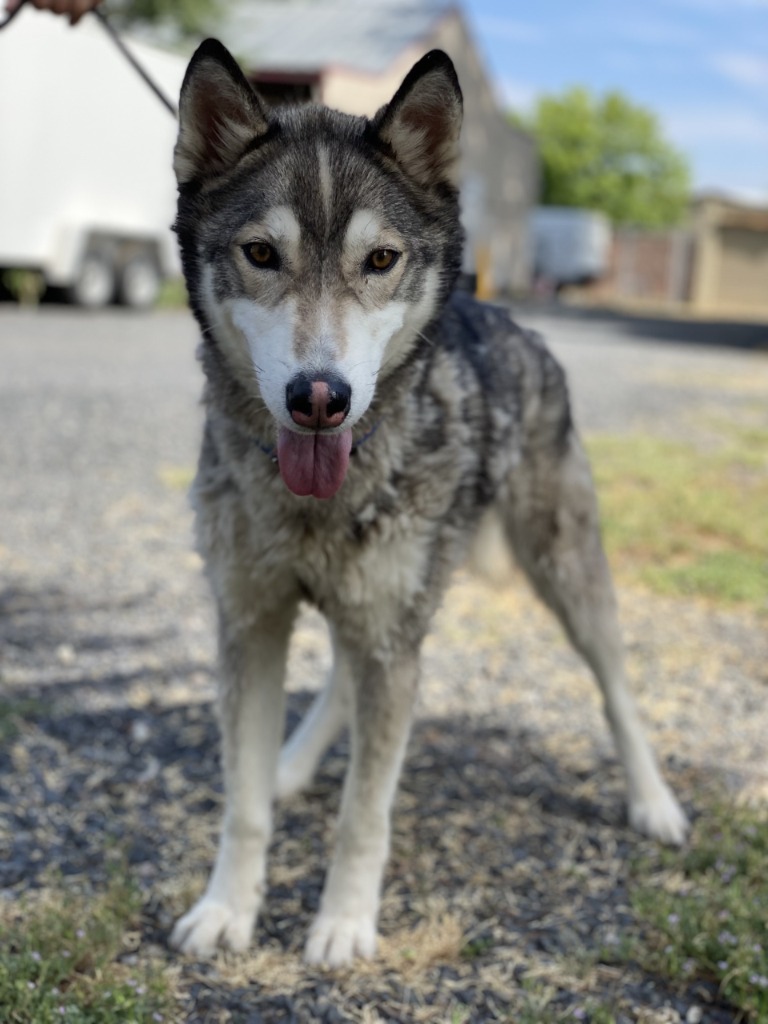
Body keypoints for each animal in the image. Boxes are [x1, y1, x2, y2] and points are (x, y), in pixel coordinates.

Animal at [169, 39, 692, 962]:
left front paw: (343, 924)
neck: (316, 497)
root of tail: (508, 314)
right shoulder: (251, 624)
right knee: (343, 679)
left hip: (563, 571)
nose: (320, 397)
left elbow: (364, 813)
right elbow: (245, 803)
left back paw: (653, 801)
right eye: (261, 254)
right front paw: (228, 907)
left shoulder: (393, 640)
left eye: (381, 260)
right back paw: (293, 762)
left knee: (616, 688)